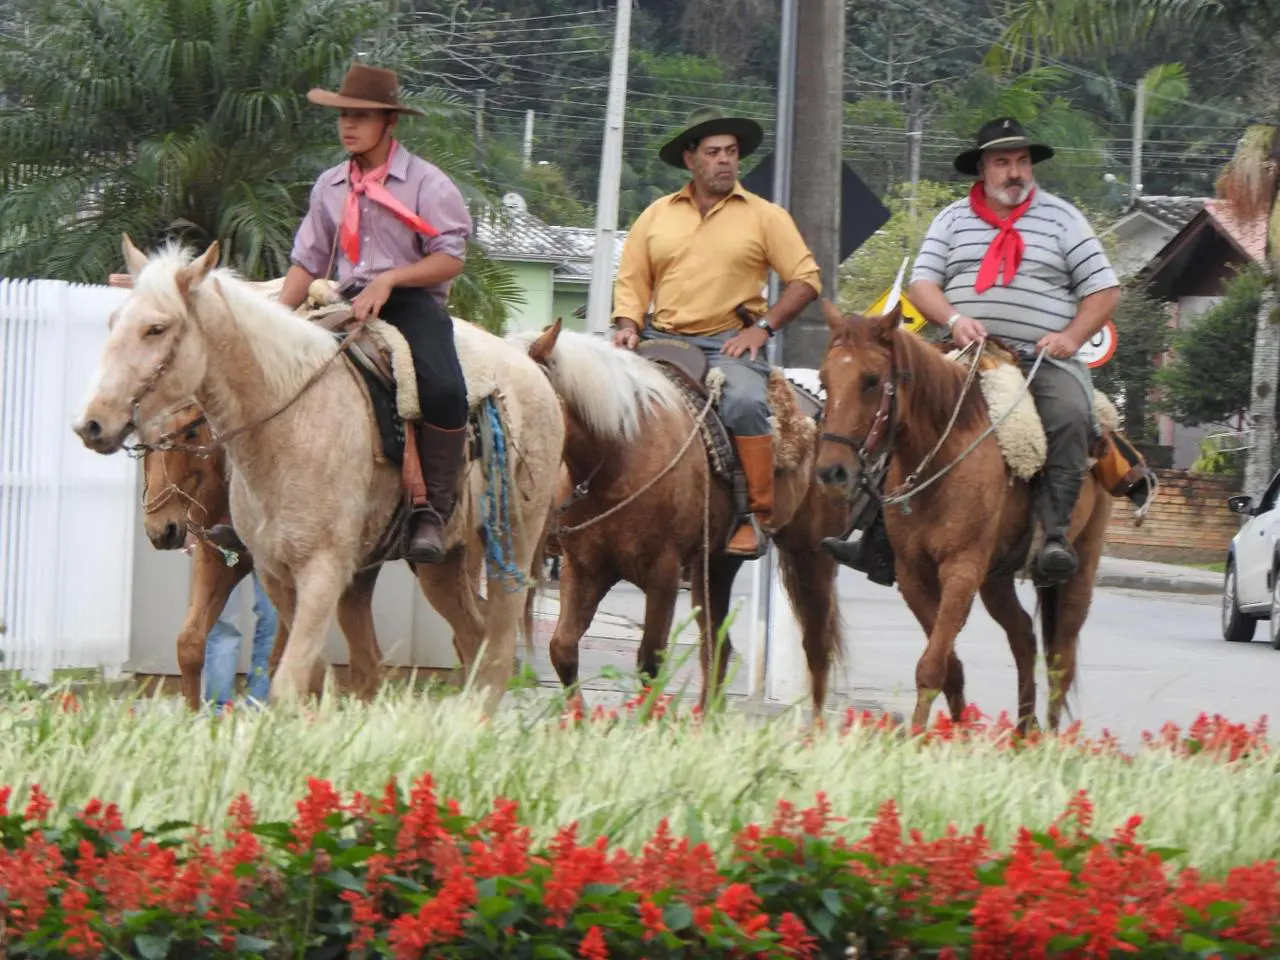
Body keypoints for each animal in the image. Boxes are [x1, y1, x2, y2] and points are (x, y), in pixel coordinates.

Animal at [73, 236, 565, 711]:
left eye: (156, 328)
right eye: (113, 321)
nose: (92, 423)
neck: (288, 422)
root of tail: (531, 374)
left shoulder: (322, 570)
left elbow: (287, 678)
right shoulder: (266, 570)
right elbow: (283, 670)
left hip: (511, 546)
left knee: (495, 650)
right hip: (440, 563)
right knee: (467, 639)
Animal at [506, 321, 849, 716]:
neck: (617, 457)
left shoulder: (663, 574)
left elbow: (649, 661)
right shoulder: (582, 569)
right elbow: (562, 649)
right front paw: (578, 719)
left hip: (811, 553)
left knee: (816, 647)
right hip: (715, 565)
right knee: (717, 646)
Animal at [819, 302, 1111, 737]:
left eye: (871, 380)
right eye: (824, 379)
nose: (832, 472)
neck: (942, 455)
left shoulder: (961, 570)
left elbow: (931, 666)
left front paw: (920, 737)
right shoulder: (913, 575)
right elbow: (948, 665)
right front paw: (954, 736)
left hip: (1079, 573)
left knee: (1061, 660)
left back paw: (1050, 739)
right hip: (996, 578)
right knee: (1023, 636)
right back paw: (1024, 731)